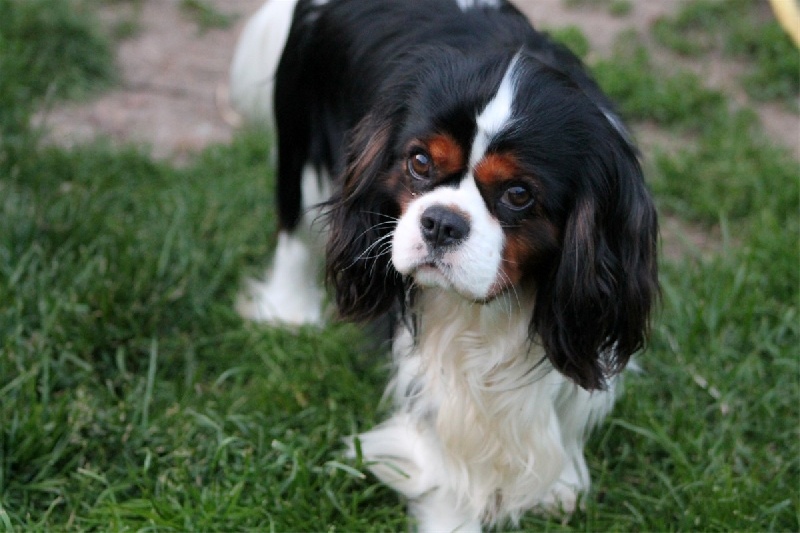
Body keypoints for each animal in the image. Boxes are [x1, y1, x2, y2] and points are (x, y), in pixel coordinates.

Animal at [230, 1, 656, 528]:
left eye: (519, 194)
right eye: (418, 162)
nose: (441, 222)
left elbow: (564, 399)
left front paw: (559, 482)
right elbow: (447, 442)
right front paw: (454, 513)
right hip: (300, 147)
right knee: (294, 233)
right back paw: (289, 314)